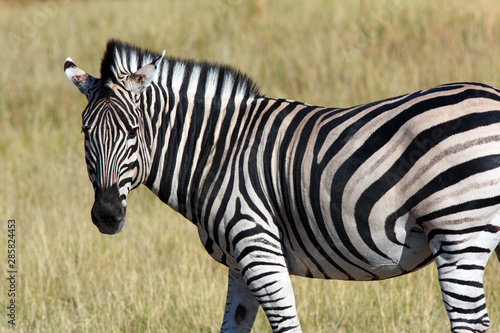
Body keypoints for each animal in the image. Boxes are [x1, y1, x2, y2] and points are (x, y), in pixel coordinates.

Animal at [64, 39, 500, 332]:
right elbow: (233, 325)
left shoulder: (258, 245)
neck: (217, 152)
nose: (106, 216)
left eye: (133, 132)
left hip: (459, 233)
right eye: (84, 133)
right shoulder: (238, 261)